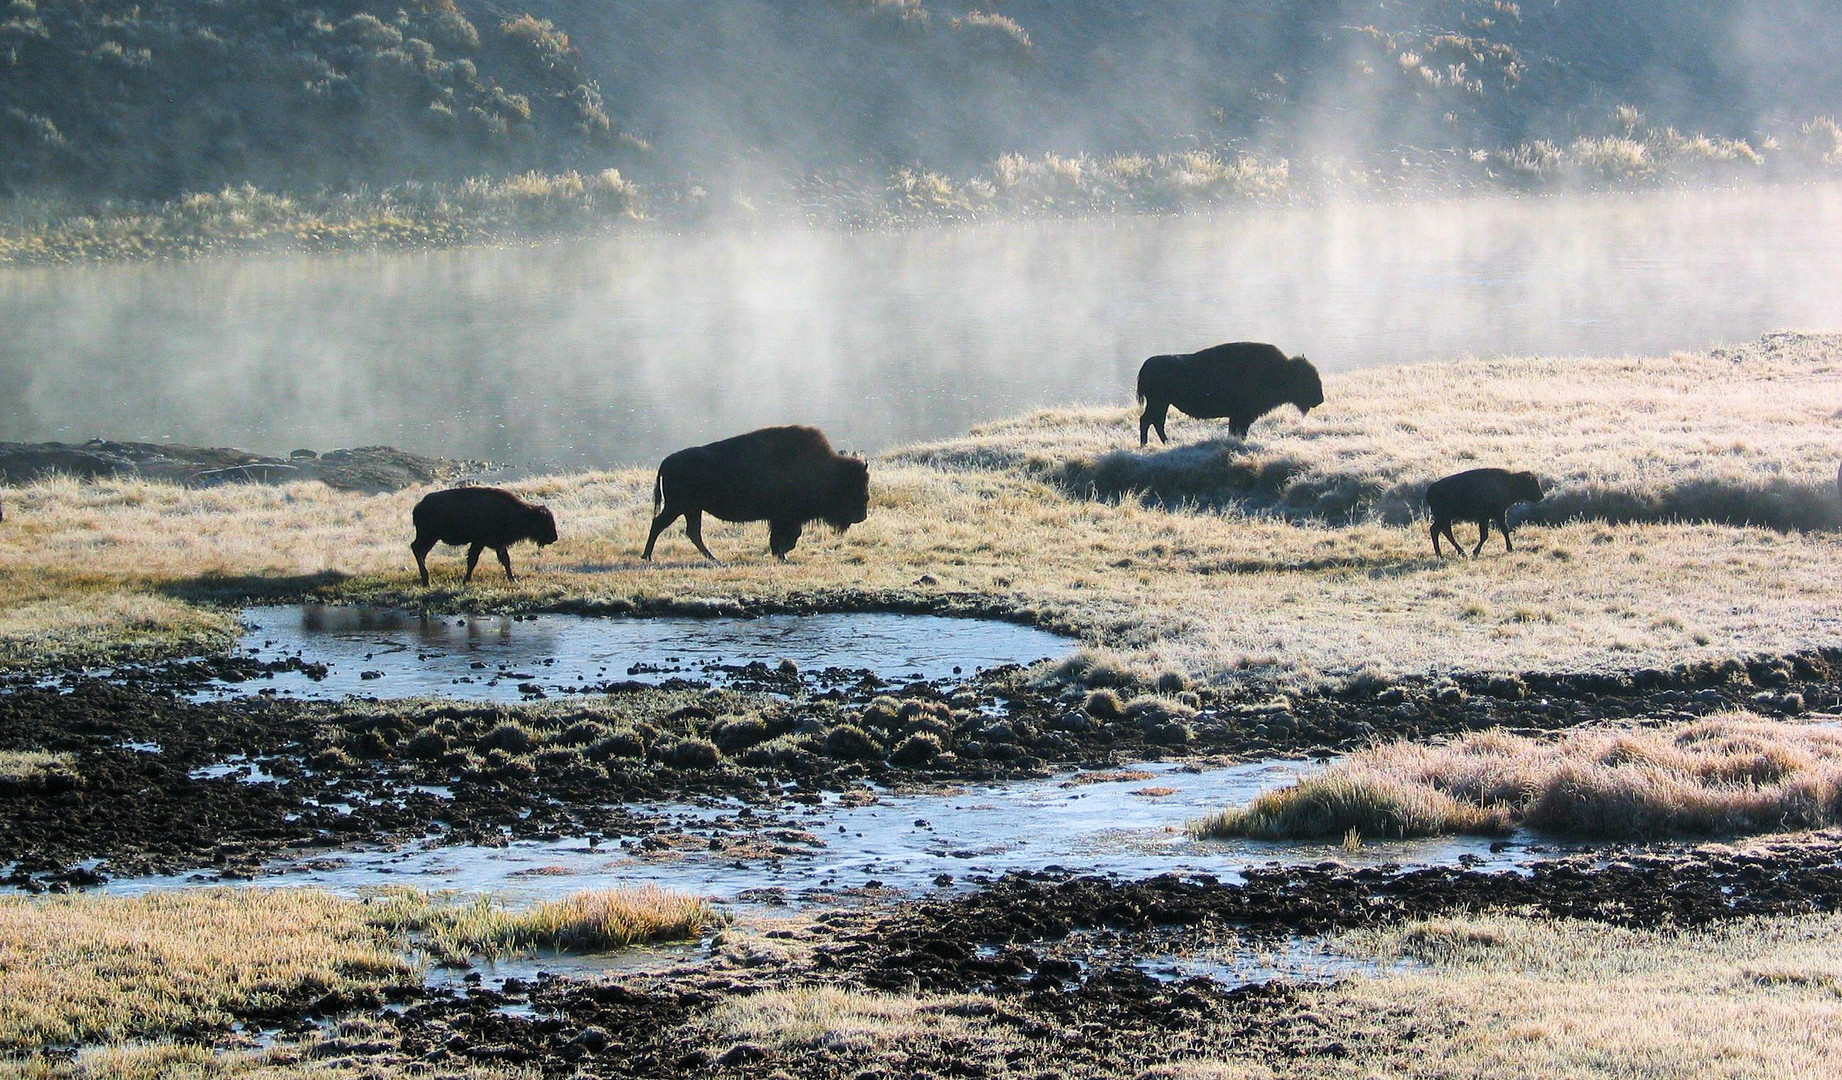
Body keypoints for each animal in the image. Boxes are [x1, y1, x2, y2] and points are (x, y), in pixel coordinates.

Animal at [414, 486, 556, 586]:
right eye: (544, 522)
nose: (554, 537)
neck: (520, 513)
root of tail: (418, 506)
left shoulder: (499, 545)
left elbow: (506, 560)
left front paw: (513, 579)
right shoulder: (478, 543)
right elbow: (472, 561)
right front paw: (466, 580)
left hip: (431, 538)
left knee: (421, 552)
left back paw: (425, 579)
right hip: (428, 536)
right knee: (417, 549)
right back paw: (426, 580)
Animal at [644, 420, 873, 560]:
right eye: (853, 487)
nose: (862, 515)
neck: (825, 470)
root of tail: (667, 461)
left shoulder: (785, 518)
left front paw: (781, 553)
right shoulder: (786, 517)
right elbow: (787, 536)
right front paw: (782, 553)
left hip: (691, 509)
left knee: (691, 532)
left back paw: (714, 558)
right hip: (679, 507)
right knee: (660, 524)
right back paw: (648, 557)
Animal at [1134, 339, 1326, 444]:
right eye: (1306, 379)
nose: (1320, 399)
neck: (1279, 371)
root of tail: (1146, 366)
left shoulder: (1239, 416)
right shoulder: (1242, 415)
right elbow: (1239, 431)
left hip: (1163, 403)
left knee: (1156, 421)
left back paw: (1165, 443)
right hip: (1158, 402)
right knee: (1148, 420)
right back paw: (1146, 445)